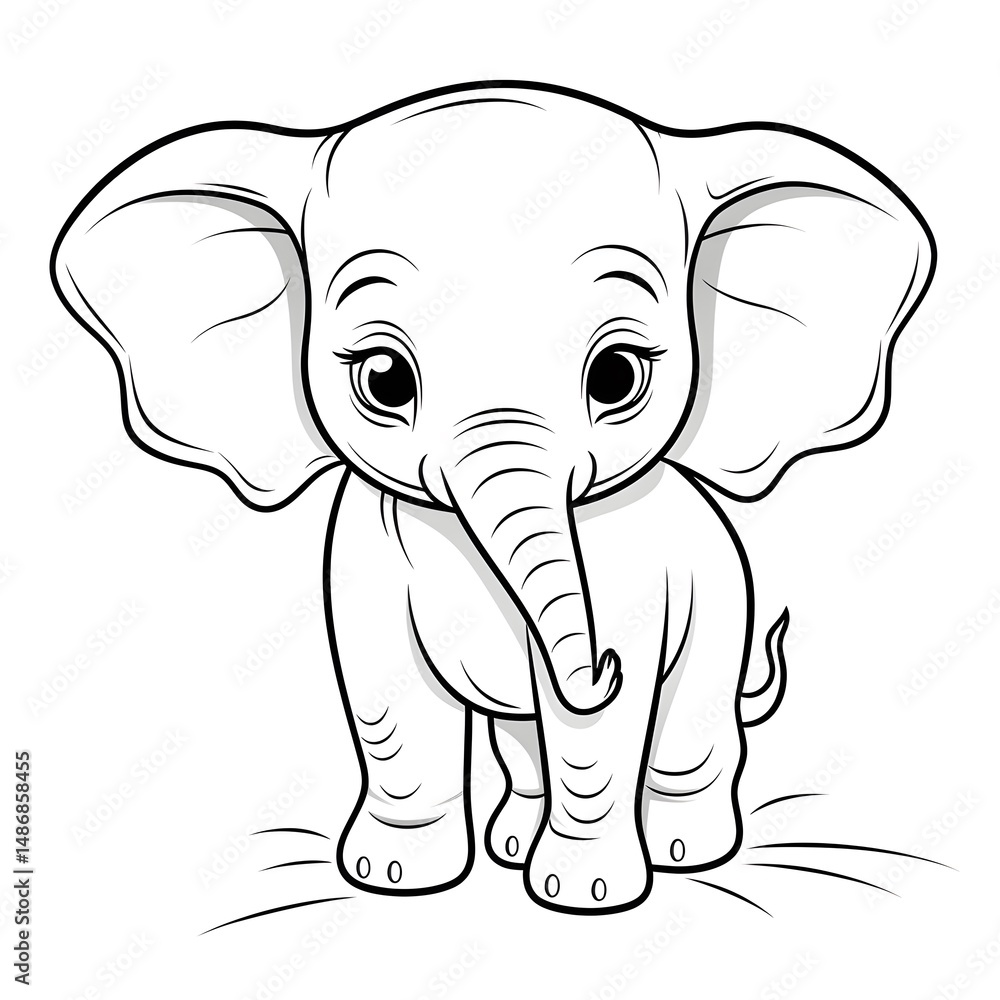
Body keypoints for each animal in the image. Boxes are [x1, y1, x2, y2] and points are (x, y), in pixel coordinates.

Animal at [51, 81, 935, 914]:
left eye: (618, 375)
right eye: (383, 378)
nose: (605, 665)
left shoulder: (632, 573)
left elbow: (592, 729)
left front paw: (585, 895)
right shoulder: (363, 553)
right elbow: (388, 700)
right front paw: (391, 876)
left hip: (724, 612)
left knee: (691, 729)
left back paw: (685, 850)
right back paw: (512, 845)